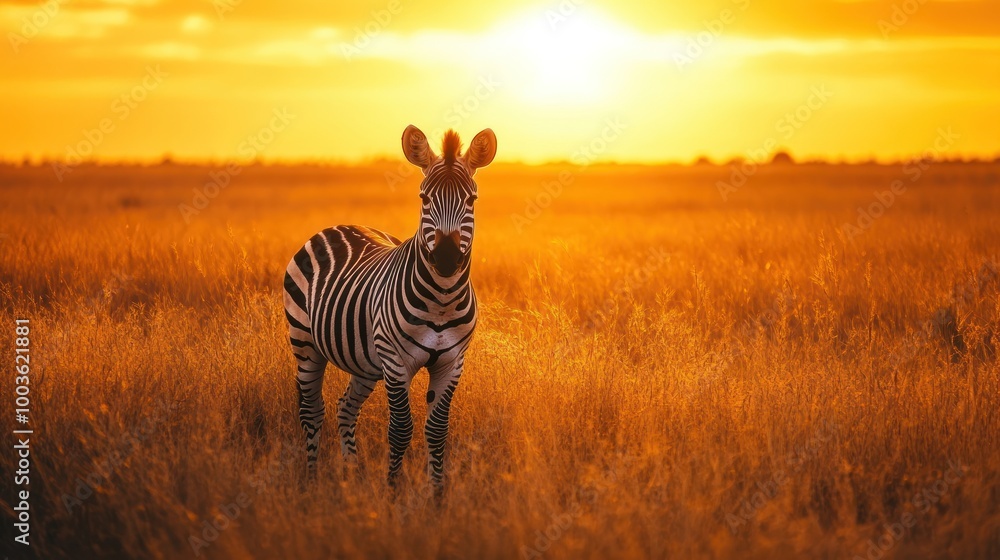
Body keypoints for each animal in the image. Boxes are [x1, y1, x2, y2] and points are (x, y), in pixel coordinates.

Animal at [282, 125, 496, 490]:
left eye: (472, 200)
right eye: (424, 199)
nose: (446, 259)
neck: (442, 301)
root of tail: (339, 225)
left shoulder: (452, 363)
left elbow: (437, 431)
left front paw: (437, 497)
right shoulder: (396, 362)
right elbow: (400, 430)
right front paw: (392, 494)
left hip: (366, 362)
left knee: (345, 408)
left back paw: (352, 475)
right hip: (306, 343)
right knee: (312, 411)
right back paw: (311, 483)